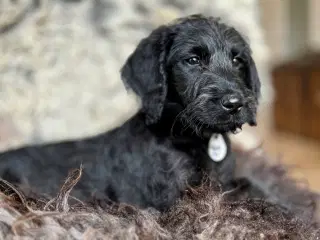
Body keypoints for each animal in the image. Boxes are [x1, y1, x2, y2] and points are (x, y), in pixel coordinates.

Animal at [0, 14, 260, 210]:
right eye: (193, 60)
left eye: (237, 60)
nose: (234, 103)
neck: (190, 137)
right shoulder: (174, 198)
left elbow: (248, 184)